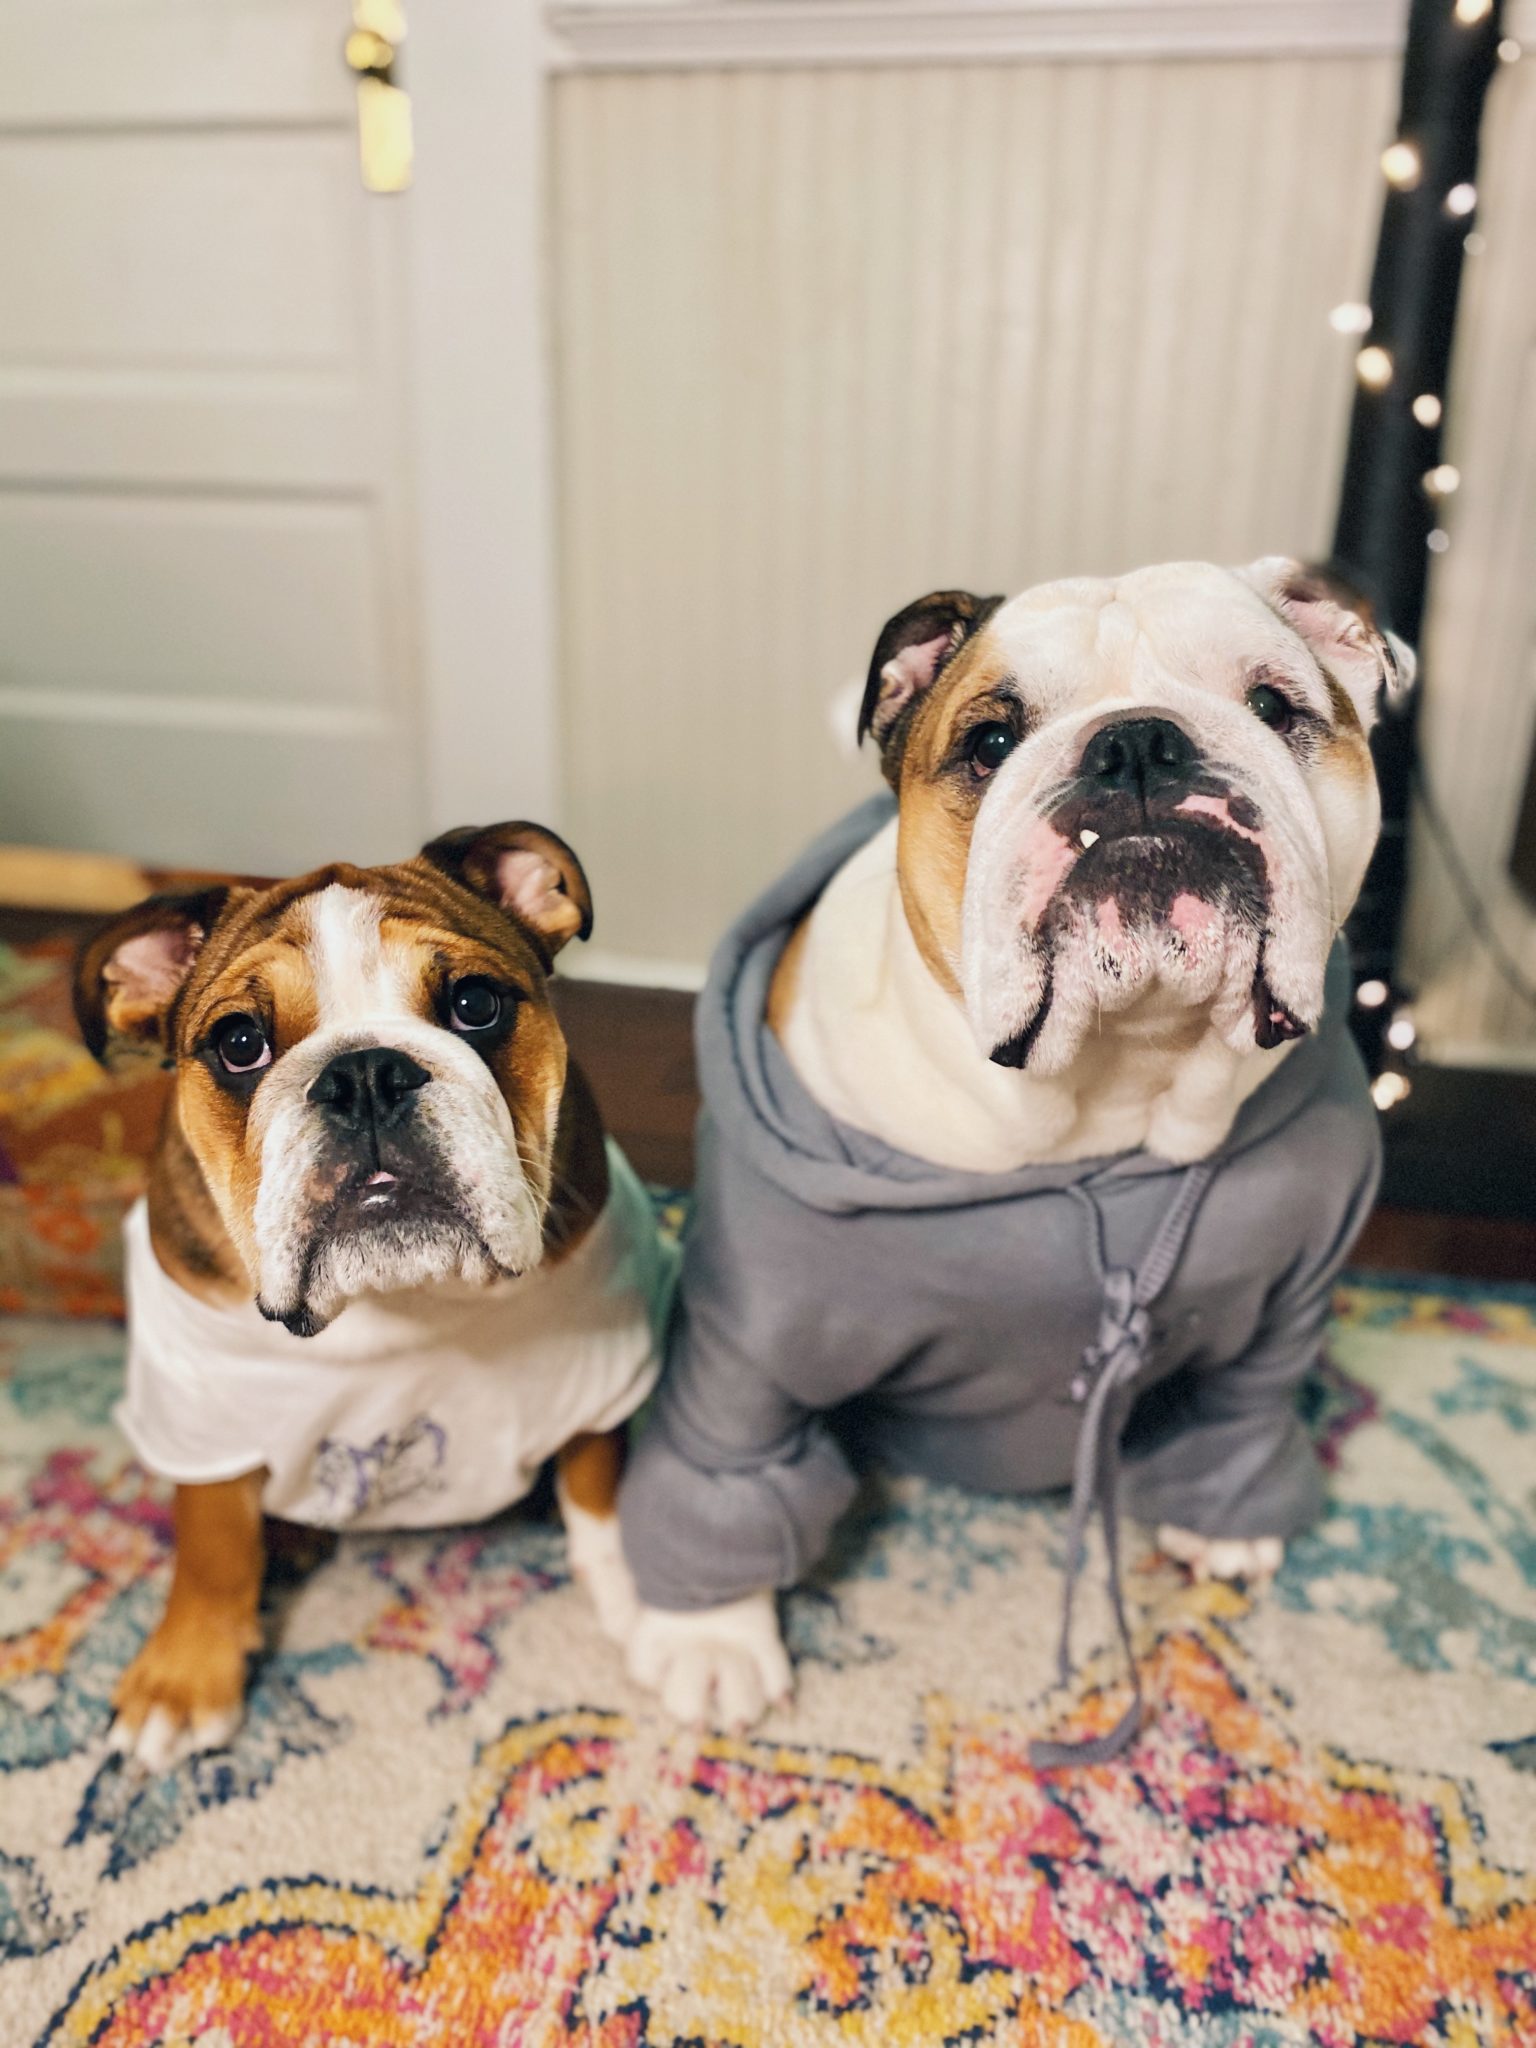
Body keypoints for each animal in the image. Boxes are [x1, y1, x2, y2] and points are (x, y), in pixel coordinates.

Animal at [73, 823, 671, 1769]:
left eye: (475, 1004)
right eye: (238, 1042)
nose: (364, 1076)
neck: (403, 1298)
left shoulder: (600, 1364)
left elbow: (596, 1476)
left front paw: (640, 1590)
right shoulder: (198, 1397)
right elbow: (210, 1537)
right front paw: (185, 1675)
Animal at [618, 561, 1417, 1761]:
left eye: (1275, 706)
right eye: (991, 741)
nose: (1138, 744)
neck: (1105, 1089)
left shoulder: (1289, 1300)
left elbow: (1247, 1405)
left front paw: (1225, 1529)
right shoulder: (754, 1342)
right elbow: (727, 1456)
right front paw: (713, 1638)